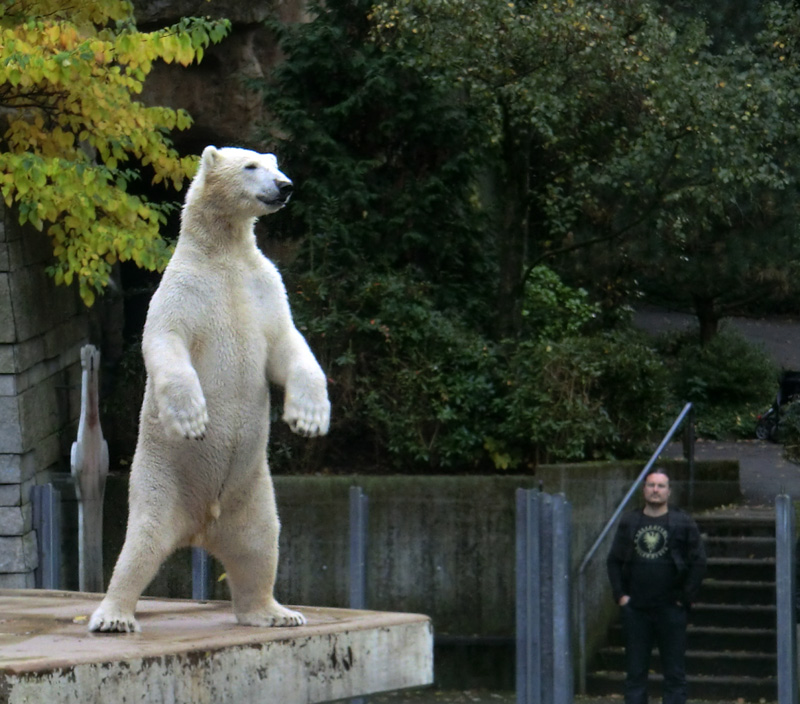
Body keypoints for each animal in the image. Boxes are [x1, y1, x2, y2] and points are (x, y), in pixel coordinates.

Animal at [86, 147, 326, 632]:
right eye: (251, 166)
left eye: (274, 162)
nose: (285, 186)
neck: (223, 255)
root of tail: (200, 525)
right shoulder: (183, 291)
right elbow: (165, 342)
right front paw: (192, 418)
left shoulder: (264, 286)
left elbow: (288, 344)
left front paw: (309, 418)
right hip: (160, 479)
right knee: (140, 543)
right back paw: (113, 616)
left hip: (250, 490)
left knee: (261, 543)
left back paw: (275, 612)